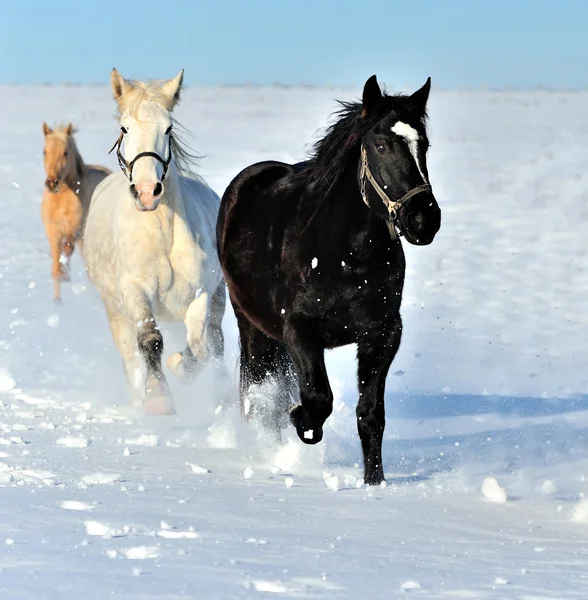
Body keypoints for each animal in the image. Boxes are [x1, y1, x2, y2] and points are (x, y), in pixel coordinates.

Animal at [42, 123, 111, 300]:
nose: (52, 183)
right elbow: (55, 263)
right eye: (44, 151)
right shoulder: (53, 231)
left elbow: (67, 248)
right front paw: (57, 300)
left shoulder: (76, 227)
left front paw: (65, 274)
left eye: (65, 152)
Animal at [84, 69, 226, 418]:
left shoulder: (201, 294)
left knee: (216, 343)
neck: (163, 235)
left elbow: (200, 346)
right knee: (130, 355)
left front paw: (179, 367)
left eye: (169, 128)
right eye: (125, 128)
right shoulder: (135, 292)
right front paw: (158, 397)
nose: (147, 191)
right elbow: (150, 339)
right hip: (114, 310)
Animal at [217, 76, 440, 488]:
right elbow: (317, 397)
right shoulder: (299, 329)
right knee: (259, 393)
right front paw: (301, 421)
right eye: (381, 145)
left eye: (424, 145)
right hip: (252, 325)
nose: (423, 219)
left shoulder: (383, 333)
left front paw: (374, 482)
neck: (347, 255)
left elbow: (370, 413)